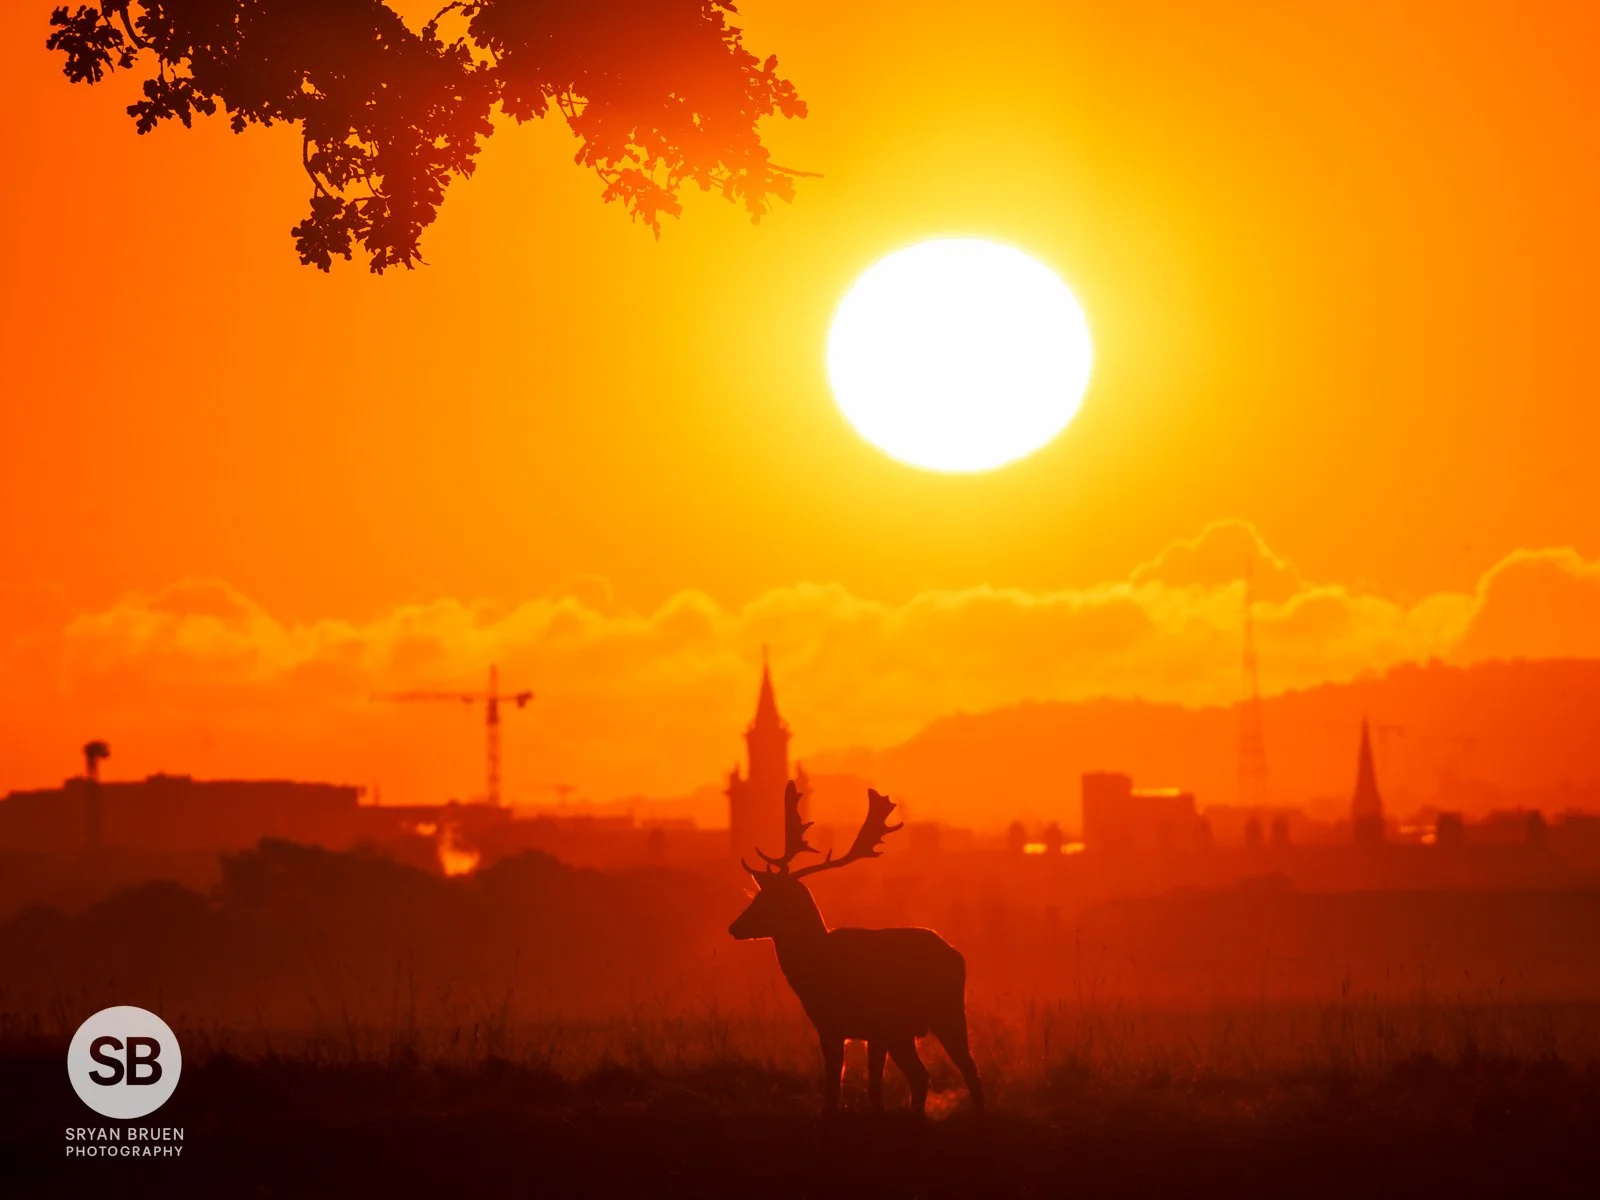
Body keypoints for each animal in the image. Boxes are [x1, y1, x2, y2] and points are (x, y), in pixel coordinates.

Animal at [728, 782, 984, 1117]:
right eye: (757, 896)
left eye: (772, 900)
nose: (734, 927)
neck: (821, 967)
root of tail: (957, 954)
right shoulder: (830, 1027)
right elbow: (834, 1087)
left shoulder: (876, 1025)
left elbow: (871, 1088)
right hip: (907, 1031)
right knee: (922, 1075)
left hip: (948, 1011)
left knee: (968, 1068)